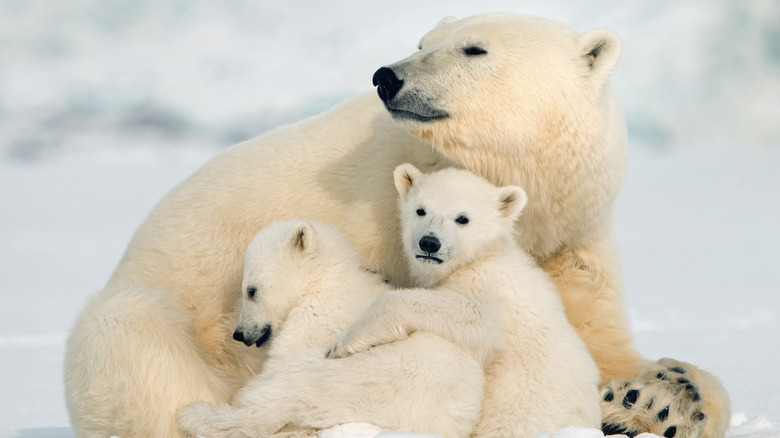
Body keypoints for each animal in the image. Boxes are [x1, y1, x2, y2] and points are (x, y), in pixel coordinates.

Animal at [64, 10, 728, 438]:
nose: (388, 75)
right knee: (132, 337)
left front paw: (655, 399)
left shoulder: (567, 240)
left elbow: (596, 342)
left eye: (474, 48)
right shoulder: (375, 220)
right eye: (423, 38)